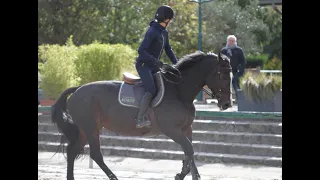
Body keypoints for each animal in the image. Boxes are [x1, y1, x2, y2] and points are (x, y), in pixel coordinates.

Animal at [52, 51, 232, 179]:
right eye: (222, 75)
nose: (227, 104)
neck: (179, 91)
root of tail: (77, 89)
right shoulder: (172, 130)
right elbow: (189, 149)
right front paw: (183, 174)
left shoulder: (187, 129)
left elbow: (190, 152)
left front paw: (186, 173)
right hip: (91, 129)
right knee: (95, 154)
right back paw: (114, 178)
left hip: (84, 130)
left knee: (72, 151)